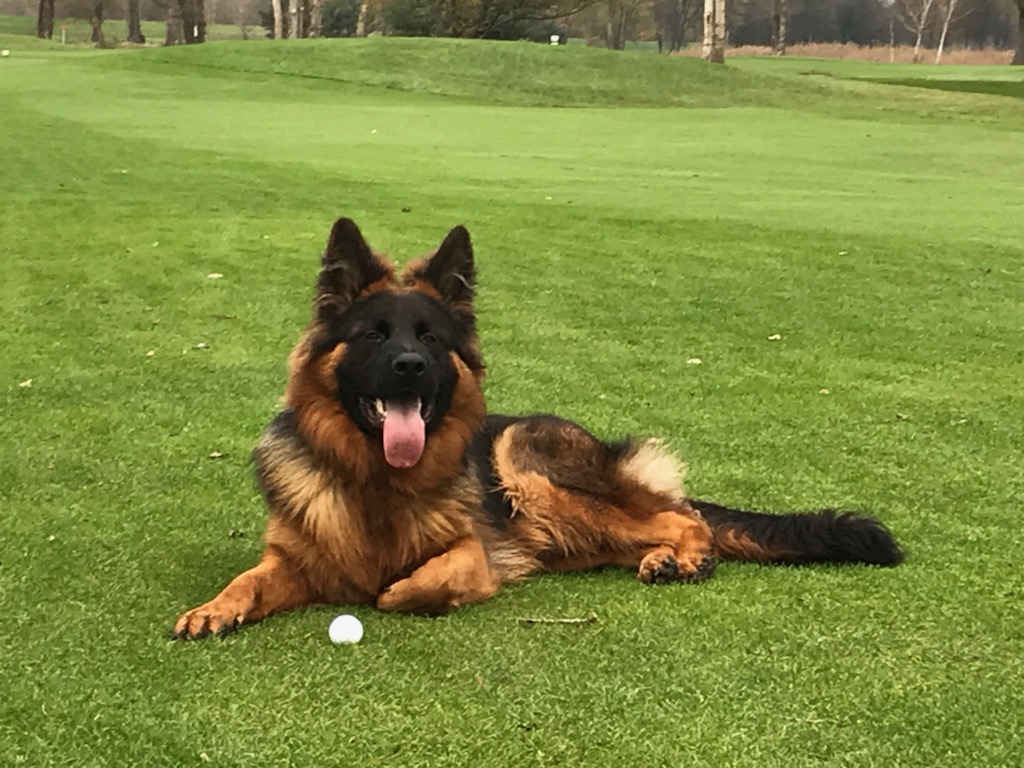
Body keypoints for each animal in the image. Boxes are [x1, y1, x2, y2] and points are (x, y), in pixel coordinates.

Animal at [172, 218, 902, 638]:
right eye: (375, 335)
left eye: (429, 338)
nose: (410, 367)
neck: (376, 483)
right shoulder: (292, 559)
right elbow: (250, 579)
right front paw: (216, 606)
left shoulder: (470, 552)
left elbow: (407, 588)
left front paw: (396, 590)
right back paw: (663, 559)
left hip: (526, 465)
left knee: (684, 516)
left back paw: (688, 557)